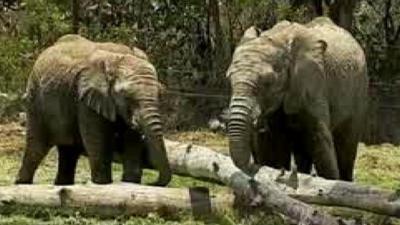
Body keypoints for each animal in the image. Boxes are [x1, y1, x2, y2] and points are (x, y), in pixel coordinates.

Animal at [15, 34, 171, 186]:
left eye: (160, 94)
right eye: (126, 97)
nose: (152, 182)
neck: (117, 59)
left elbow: (132, 140)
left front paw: (130, 182)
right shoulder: (86, 100)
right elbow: (98, 141)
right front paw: (103, 183)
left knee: (68, 151)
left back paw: (62, 185)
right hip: (36, 101)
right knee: (37, 147)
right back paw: (21, 183)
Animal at [227, 16, 368, 180]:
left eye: (268, 82)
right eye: (229, 79)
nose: (257, 124)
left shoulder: (312, 83)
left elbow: (320, 141)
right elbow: (269, 150)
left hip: (360, 91)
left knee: (346, 146)